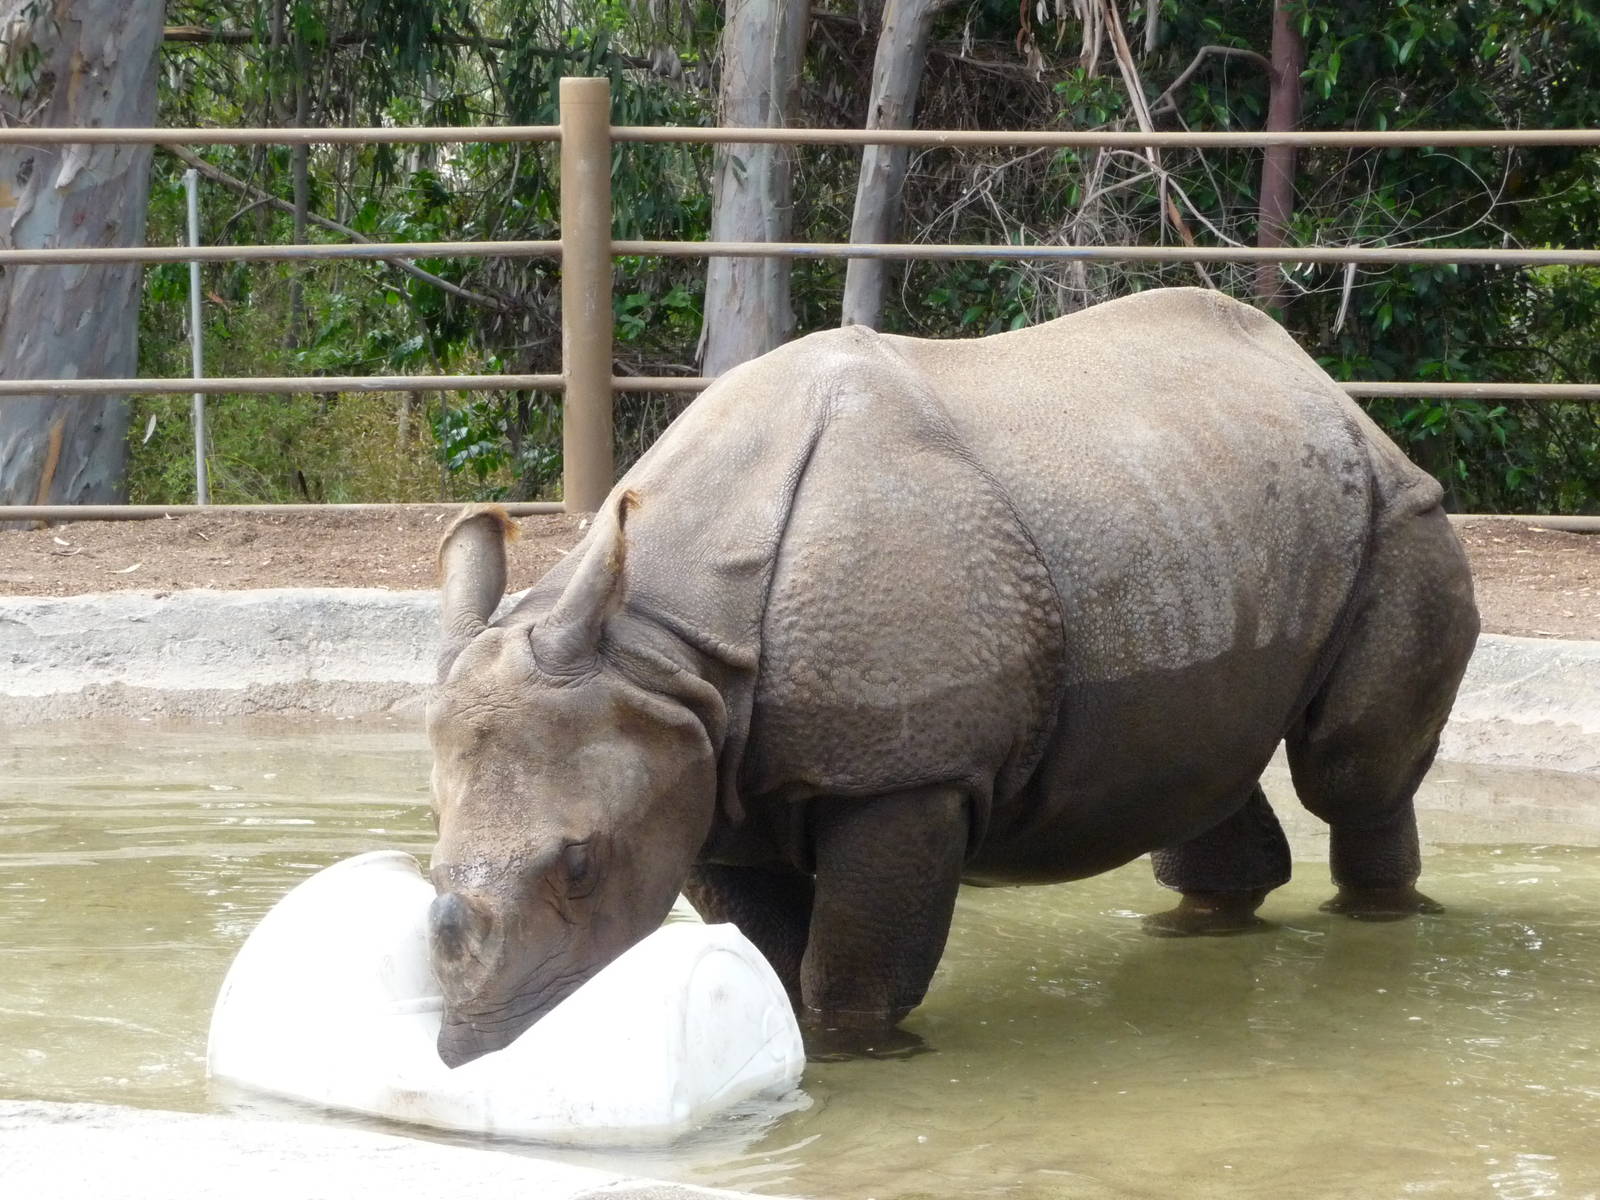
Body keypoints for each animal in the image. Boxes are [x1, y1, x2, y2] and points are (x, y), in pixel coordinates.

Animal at [424, 287, 1479, 1066]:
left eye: (579, 865)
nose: (471, 1049)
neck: (659, 643)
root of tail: (1327, 388)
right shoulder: (705, 764)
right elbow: (775, 949)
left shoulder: (905, 778)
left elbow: (848, 969)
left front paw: (857, 1059)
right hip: (1192, 505)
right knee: (1198, 757)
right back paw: (1200, 929)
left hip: (1399, 513)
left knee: (1348, 771)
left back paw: (1378, 920)